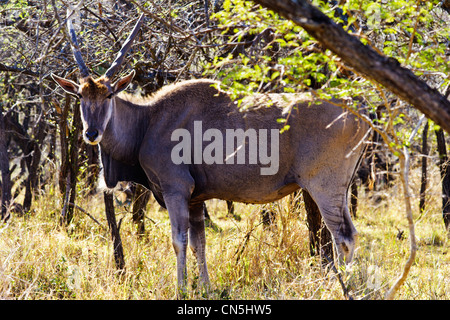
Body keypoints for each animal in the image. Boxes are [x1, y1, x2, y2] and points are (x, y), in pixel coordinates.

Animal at [51, 13, 370, 292]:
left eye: (108, 95)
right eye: (80, 95)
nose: (91, 133)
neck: (149, 120)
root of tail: (360, 115)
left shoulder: (176, 190)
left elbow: (179, 240)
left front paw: (181, 289)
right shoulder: (195, 199)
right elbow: (198, 243)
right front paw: (205, 287)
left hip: (324, 187)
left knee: (343, 237)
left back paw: (343, 287)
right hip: (340, 191)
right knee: (351, 233)